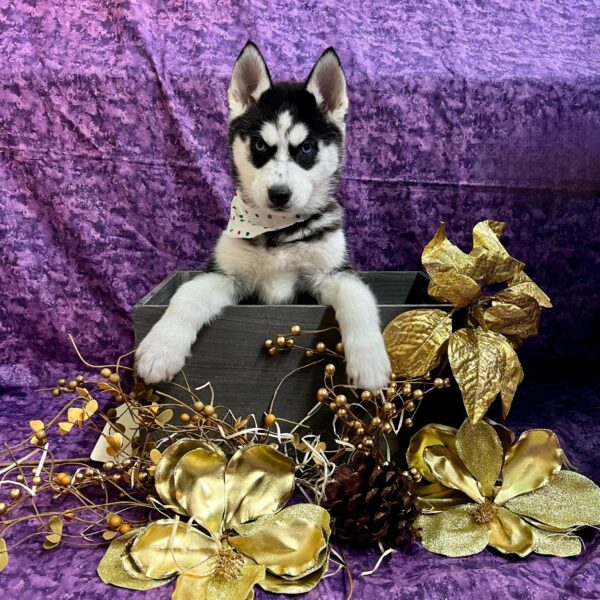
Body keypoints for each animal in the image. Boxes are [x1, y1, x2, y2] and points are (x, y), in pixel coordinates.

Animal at [135, 41, 394, 390]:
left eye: (307, 148)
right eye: (259, 145)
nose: (279, 194)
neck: (277, 230)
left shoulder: (333, 273)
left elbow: (358, 297)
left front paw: (370, 363)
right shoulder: (225, 275)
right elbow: (188, 293)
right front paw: (160, 349)